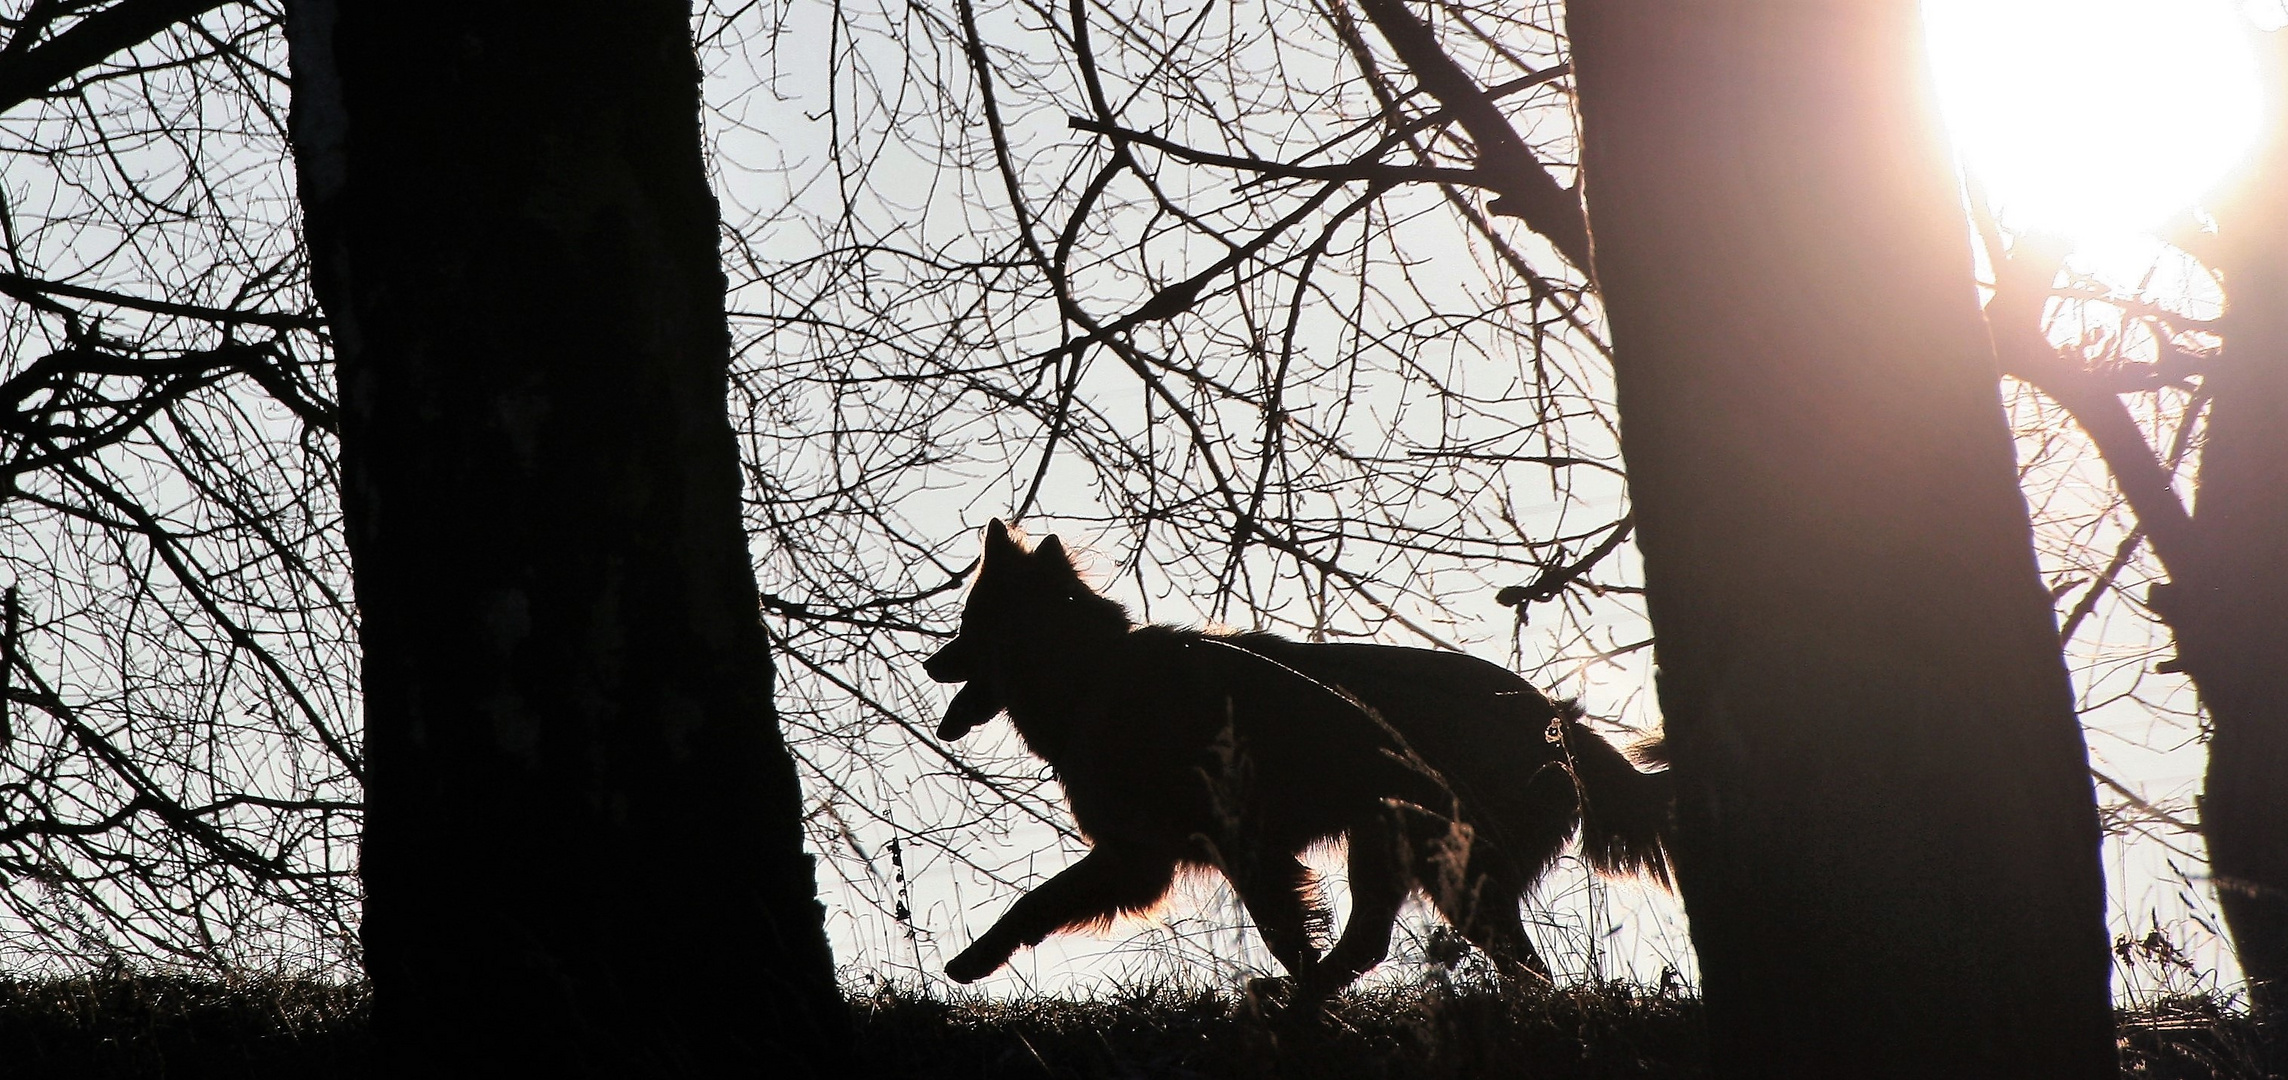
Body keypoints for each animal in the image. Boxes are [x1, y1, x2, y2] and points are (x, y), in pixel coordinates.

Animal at [919, 523, 1674, 997]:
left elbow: (1041, 899)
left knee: (1477, 956)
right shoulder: (1152, 858)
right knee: (1405, 946)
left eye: (965, 626)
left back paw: (1307, 1000)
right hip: (1398, 844)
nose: (930, 664)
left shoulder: (1211, 850)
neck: (1092, 672)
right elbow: (1040, 900)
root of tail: (1559, 723)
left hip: (1427, 851)